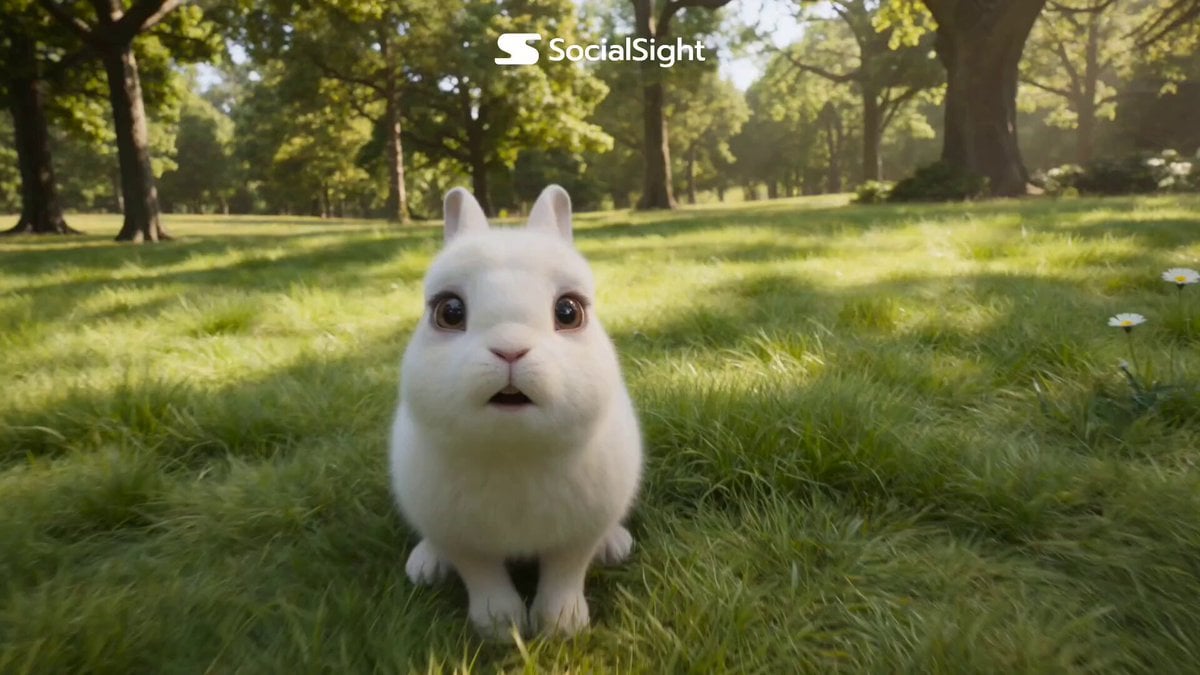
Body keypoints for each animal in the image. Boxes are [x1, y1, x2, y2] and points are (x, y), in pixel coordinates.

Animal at [389, 184, 643, 640]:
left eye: (568, 312)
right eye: (449, 312)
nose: (510, 350)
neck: (513, 451)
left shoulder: (577, 535)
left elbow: (564, 574)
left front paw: (561, 627)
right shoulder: (464, 541)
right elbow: (483, 576)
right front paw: (500, 627)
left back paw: (615, 546)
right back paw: (425, 565)